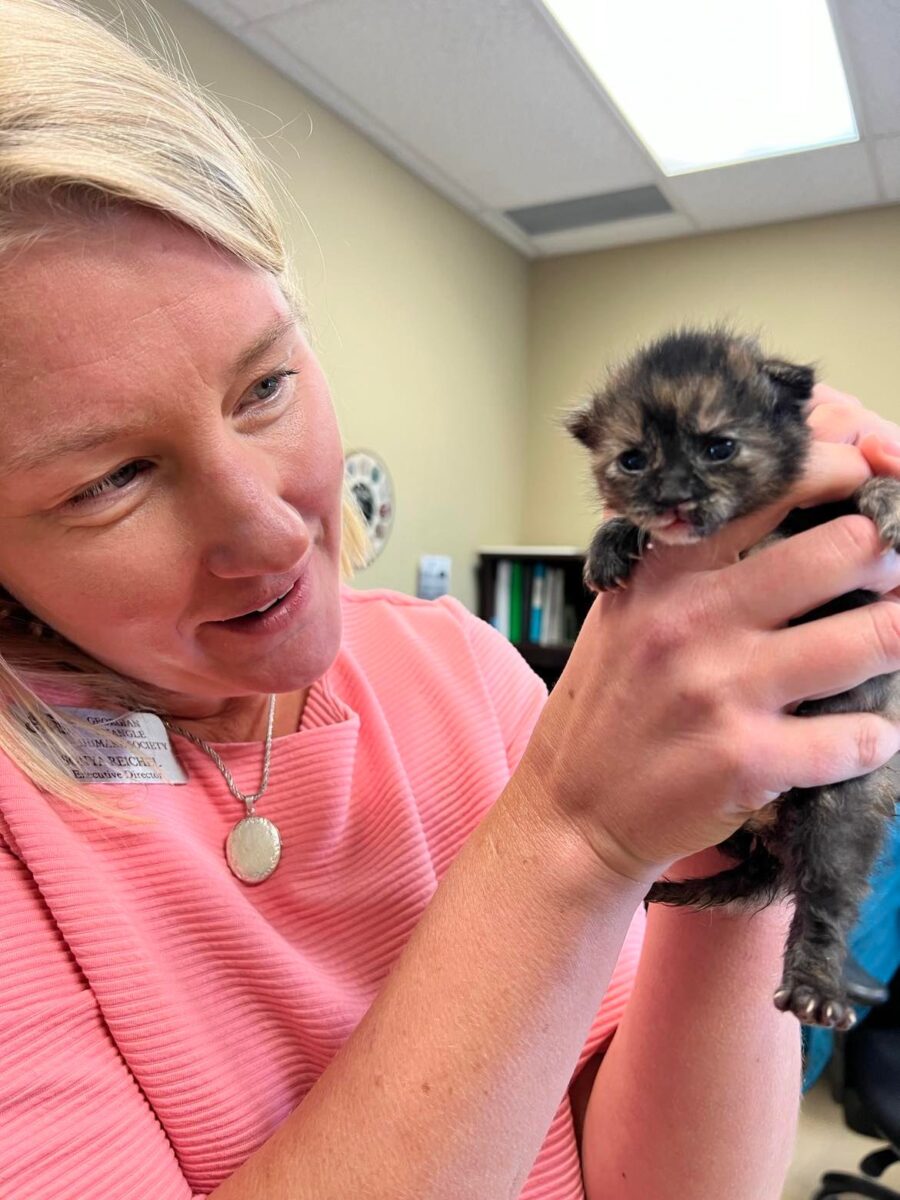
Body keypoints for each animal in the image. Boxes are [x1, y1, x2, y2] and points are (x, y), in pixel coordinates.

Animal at [564, 328, 900, 1032]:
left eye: (718, 447)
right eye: (633, 460)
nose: (670, 498)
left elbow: (865, 483)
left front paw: (889, 498)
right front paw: (611, 538)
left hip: (843, 801)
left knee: (825, 893)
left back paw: (814, 982)